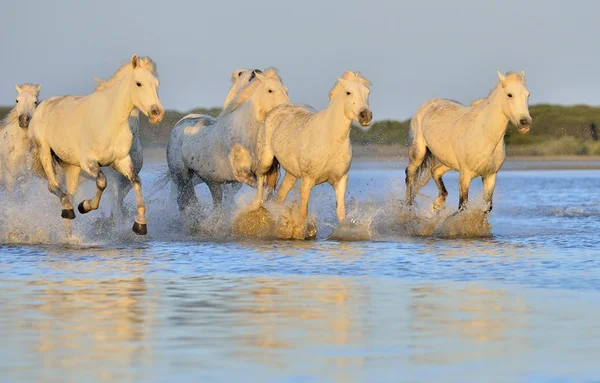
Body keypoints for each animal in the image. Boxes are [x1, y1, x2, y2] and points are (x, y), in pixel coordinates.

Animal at [29, 53, 163, 234]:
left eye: (156, 84)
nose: (157, 113)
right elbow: (102, 183)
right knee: (54, 186)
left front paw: (140, 224)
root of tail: (42, 105)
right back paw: (69, 209)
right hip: (44, 151)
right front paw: (84, 206)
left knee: (69, 193)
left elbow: (136, 181)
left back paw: (69, 231)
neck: (110, 120)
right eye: (138, 83)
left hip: (72, 167)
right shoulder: (89, 163)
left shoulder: (121, 161)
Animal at [166, 68, 290, 213]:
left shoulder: (266, 171)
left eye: (286, 90)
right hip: (182, 177)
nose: (288, 109)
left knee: (216, 206)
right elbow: (262, 187)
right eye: (270, 90)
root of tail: (179, 124)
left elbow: (266, 189)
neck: (245, 133)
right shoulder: (241, 173)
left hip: (212, 182)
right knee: (185, 202)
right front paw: (255, 206)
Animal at [251, 71, 372, 234]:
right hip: (265, 160)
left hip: (291, 174)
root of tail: (276, 109)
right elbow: (303, 213)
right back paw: (256, 207)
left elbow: (341, 214)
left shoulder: (341, 181)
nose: (366, 116)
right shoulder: (307, 180)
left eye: (367, 93)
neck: (330, 138)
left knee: (280, 196)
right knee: (260, 179)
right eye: (348, 92)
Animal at [406, 71, 532, 214]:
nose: (525, 123)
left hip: (448, 162)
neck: (483, 134)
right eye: (509, 94)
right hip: (418, 153)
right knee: (410, 175)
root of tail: (429, 103)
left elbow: (487, 208)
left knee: (435, 171)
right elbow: (462, 206)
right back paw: (409, 208)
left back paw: (437, 204)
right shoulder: (465, 176)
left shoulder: (490, 176)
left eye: (527, 94)